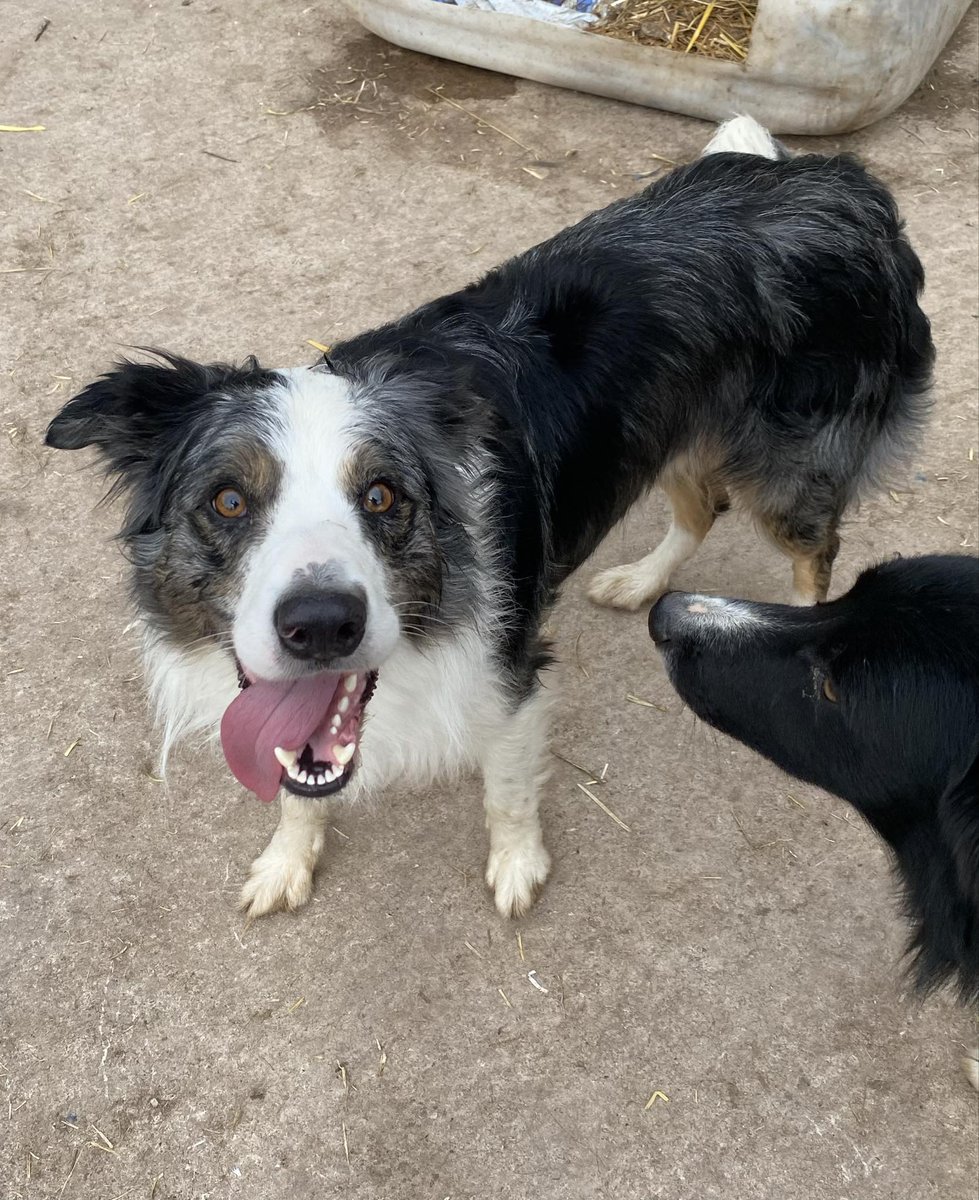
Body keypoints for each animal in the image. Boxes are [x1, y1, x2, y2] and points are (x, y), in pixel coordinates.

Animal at [45, 114, 931, 916]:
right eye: (228, 501)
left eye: (382, 496)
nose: (321, 623)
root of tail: (838, 183)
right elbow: (300, 778)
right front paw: (286, 861)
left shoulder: (510, 674)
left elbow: (504, 787)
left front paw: (516, 867)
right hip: (673, 433)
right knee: (701, 505)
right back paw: (638, 582)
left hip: (788, 471)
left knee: (812, 551)